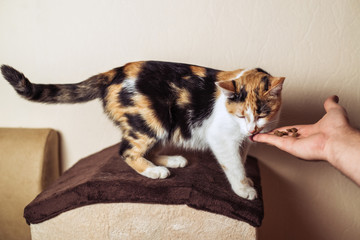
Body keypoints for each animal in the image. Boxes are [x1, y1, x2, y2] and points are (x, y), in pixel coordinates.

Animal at [1, 61, 286, 200]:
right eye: (241, 114)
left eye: (262, 113)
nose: (251, 128)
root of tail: (114, 72)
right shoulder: (222, 138)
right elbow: (233, 165)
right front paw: (244, 189)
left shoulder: (243, 141)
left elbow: (242, 158)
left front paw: (247, 179)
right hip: (150, 121)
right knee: (126, 151)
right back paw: (154, 171)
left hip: (163, 125)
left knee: (147, 148)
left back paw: (171, 161)